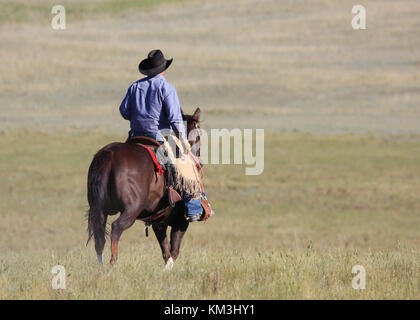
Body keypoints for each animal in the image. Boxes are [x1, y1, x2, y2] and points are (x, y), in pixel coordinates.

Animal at [86, 107, 201, 268]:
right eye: (199, 134)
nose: (198, 160)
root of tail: (109, 155)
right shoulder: (181, 220)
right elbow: (174, 251)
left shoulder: (159, 222)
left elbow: (166, 251)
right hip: (131, 209)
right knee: (116, 228)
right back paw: (112, 263)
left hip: (99, 208)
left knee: (99, 233)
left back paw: (102, 266)